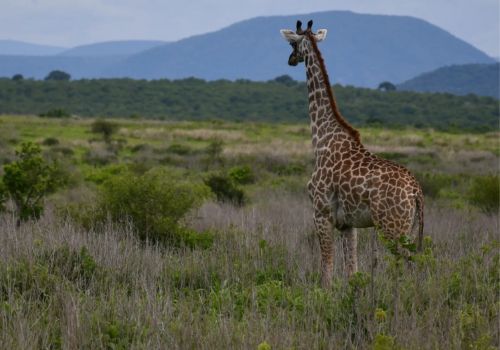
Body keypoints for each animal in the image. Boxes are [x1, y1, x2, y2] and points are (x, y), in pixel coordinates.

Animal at [280, 20, 424, 288]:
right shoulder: (348, 223)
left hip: (392, 227)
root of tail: (417, 192)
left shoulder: (321, 212)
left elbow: (326, 269)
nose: (291, 60)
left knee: (408, 265)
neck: (321, 138)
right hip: (409, 227)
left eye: (292, 43)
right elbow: (352, 271)